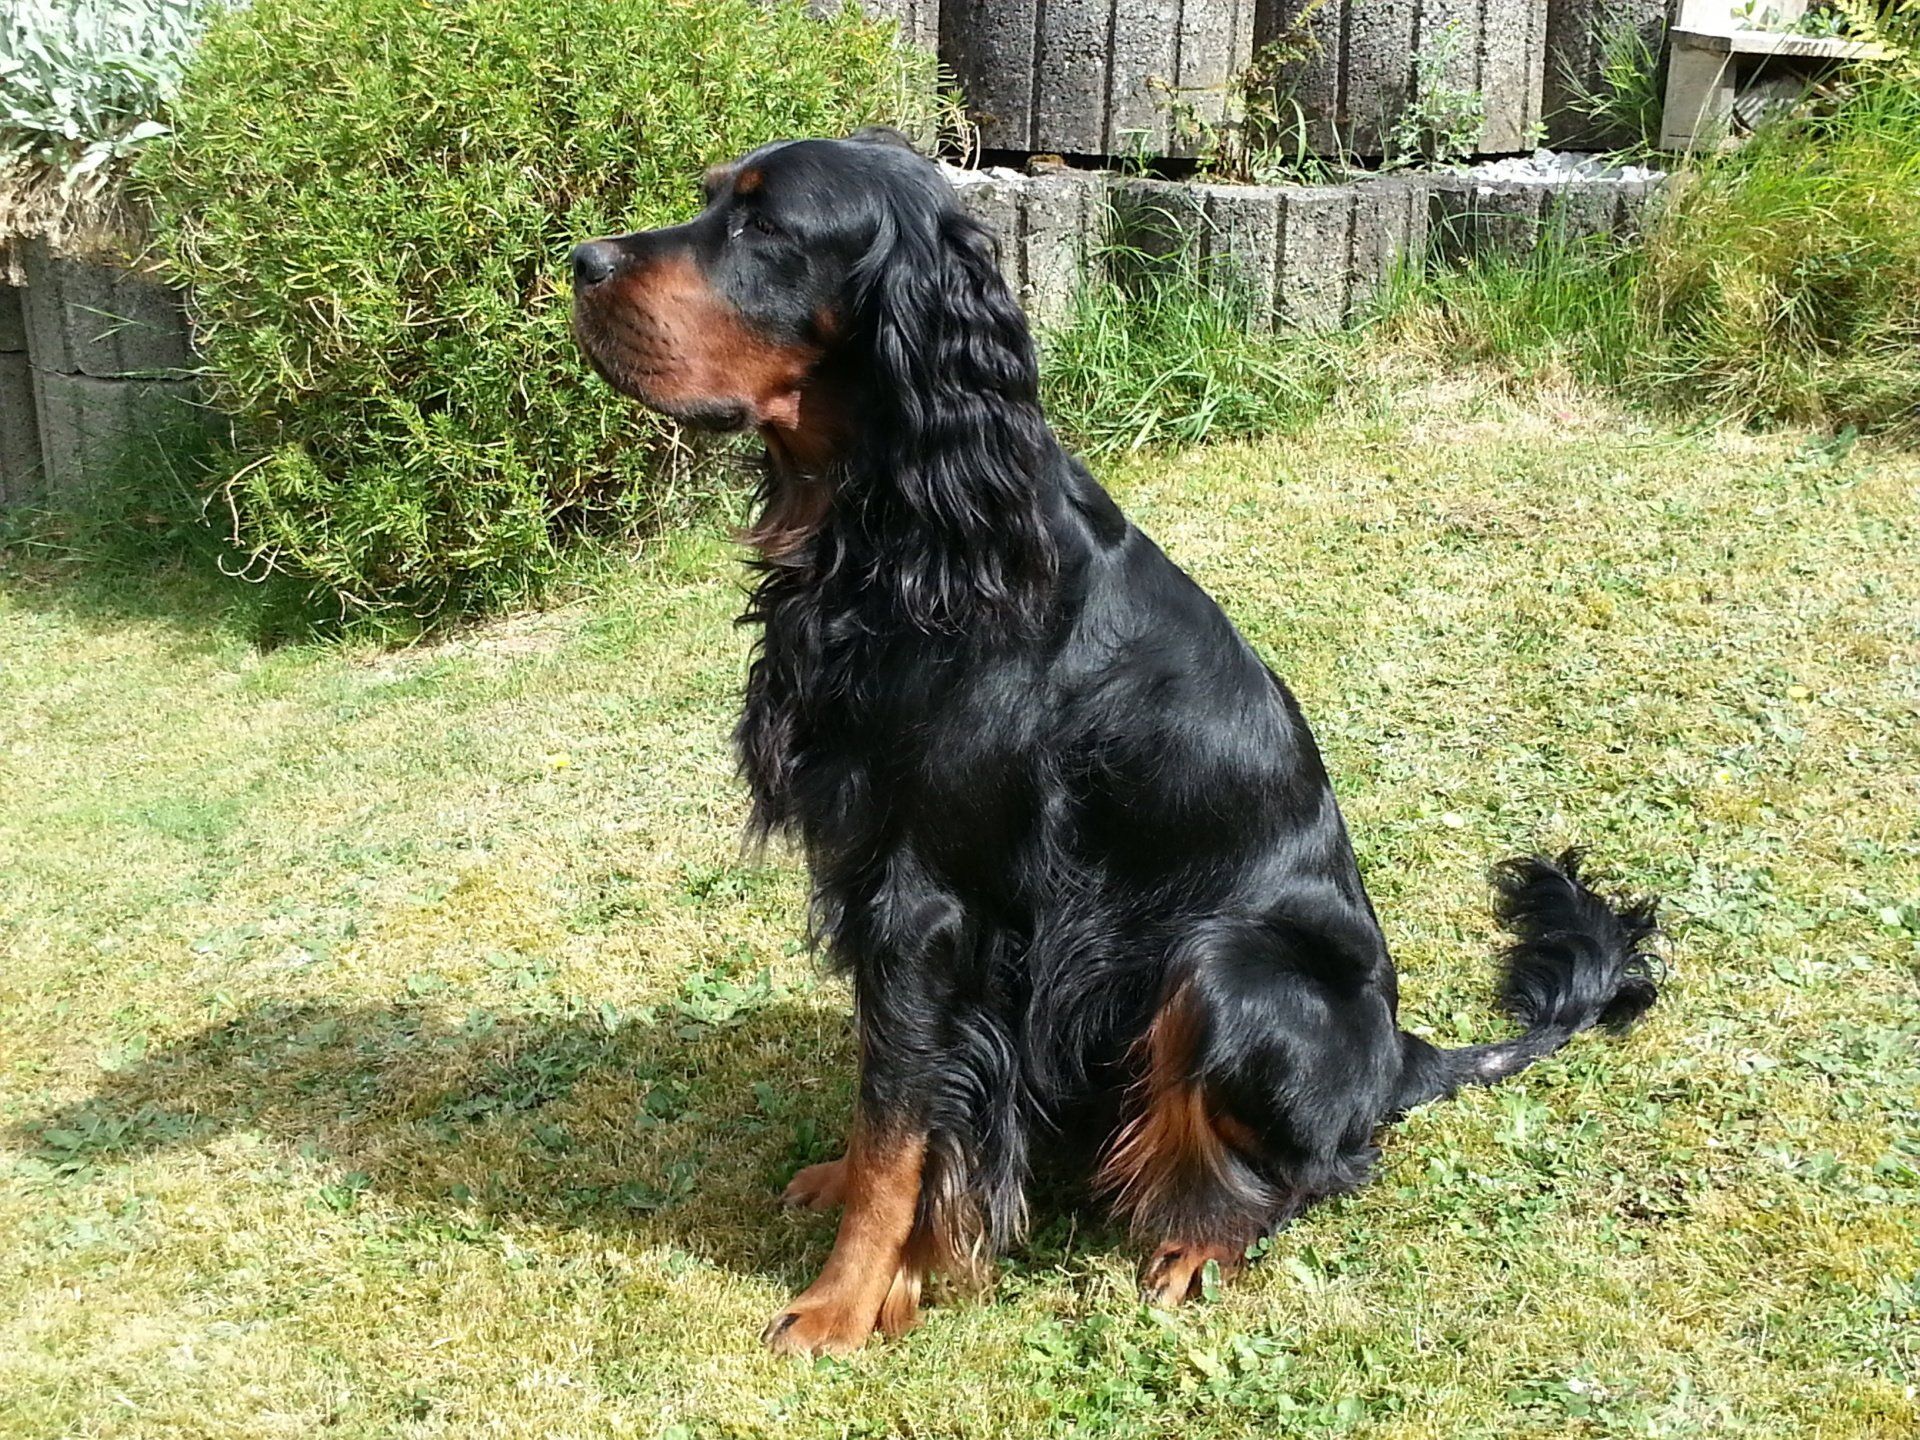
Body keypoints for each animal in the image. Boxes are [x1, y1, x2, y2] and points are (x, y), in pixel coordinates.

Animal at [570, 129, 1660, 1358]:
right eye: (714, 199)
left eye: (764, 226)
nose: (577, 262)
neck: (905, 534)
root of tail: (1402, 1054)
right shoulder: (873, 883)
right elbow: (893, 1090)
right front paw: (853, 1209)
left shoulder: (929, 898)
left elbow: (904, 1119)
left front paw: (843, 1303)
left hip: (1226, 968)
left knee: (1322, 1165)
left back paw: (1197, 1240)